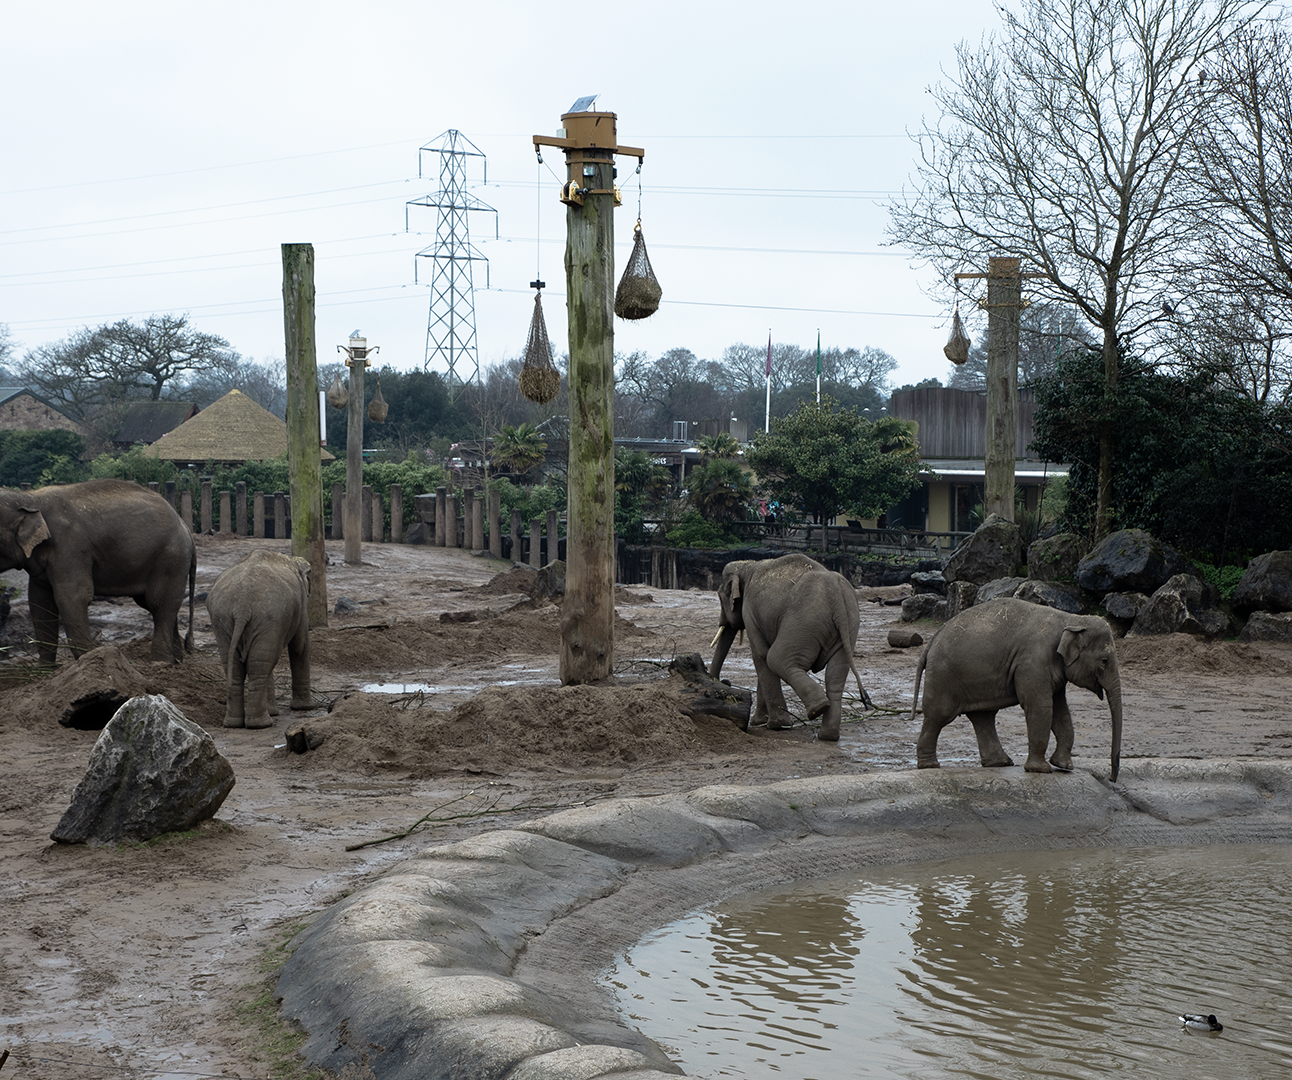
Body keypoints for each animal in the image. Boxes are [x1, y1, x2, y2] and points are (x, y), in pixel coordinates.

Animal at [0, 483, 195, 666]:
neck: (29, 498)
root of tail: (185, 526)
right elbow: (39, 603)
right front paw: (44, 670)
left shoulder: (70, 548)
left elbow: (72, 597)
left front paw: (89, 662)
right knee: (158, 605)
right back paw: (176, 662)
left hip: (171, 558)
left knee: (159, 604)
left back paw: (160, 664)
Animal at [210, 552, 316, 728]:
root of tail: (242, 603)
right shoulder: (301, 603)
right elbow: (300, 645)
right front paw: (304, 708)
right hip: (268, 616)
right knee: (259, 666)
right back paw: (262, 724)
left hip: (223, 619)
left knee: (243, 666)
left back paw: (235, 723)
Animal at [713, 558, 873, 744]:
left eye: (720, 597)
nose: (725, 681)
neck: (747, 565)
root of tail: (837, 597)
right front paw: (760, 722)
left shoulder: (750, 611)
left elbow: (761, 655)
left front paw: (775, 725)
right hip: (848, 625)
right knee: (835, 676)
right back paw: (828, 735)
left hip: (803, 622)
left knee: (777, 658)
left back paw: (818, 709)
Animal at [909, 594, 1121, 780]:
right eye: (1104, 661)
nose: (1112, 779)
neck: (1071, 619)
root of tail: (931, 642)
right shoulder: (1033, 663)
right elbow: (1040, 707)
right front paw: (1041, 770)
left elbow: (1060, 709)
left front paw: (1064, 766)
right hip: (943, 676)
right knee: (939, 715)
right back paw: (930, 766)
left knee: (983, 717)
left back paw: (1000, 763)